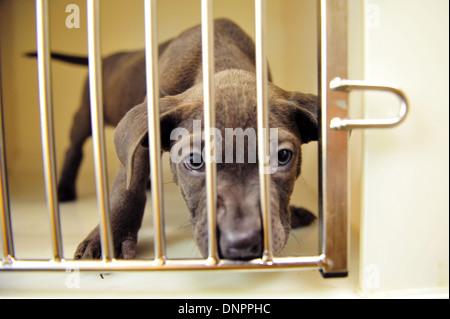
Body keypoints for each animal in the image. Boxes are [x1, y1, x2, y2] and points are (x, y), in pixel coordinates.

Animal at [74, 18, 318, 262]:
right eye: (194, 160)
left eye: (282, 156)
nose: (243, 243)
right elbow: (129, 182)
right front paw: (111, 234)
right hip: (87, 113)